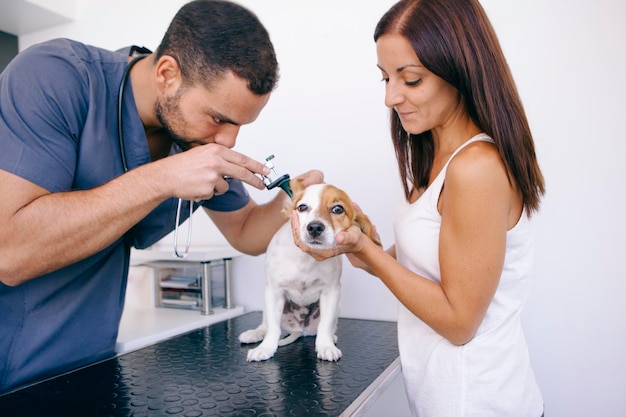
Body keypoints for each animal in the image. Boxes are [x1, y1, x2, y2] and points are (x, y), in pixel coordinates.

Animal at [236, 179, 378, 360]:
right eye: (302, 207)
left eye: (337, 209)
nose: (315, 227)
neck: (306, 258)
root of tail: (299, 329)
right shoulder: (274, 291)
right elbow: (273, 328)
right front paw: (265, 348)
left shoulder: (331, 292)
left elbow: (325, 325)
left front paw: (325, 346)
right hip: (267, 303)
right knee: (266, 324)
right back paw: (254, 334)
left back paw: (331, 337)